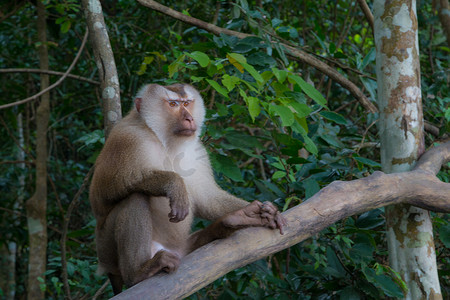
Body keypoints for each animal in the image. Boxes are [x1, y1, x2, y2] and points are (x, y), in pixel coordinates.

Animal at [89, 83, 286, 294]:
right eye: (173, 104)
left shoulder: (198, 151)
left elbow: (208, 199)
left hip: (182, 250)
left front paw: (261, 211)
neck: (163, 140)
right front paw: (174, 184)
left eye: (187, 103)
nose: (189, 118)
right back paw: (139, 273)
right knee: (135, 198)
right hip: (106, 250)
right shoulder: (128, 140)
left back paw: (234, 220)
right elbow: (108, 189)